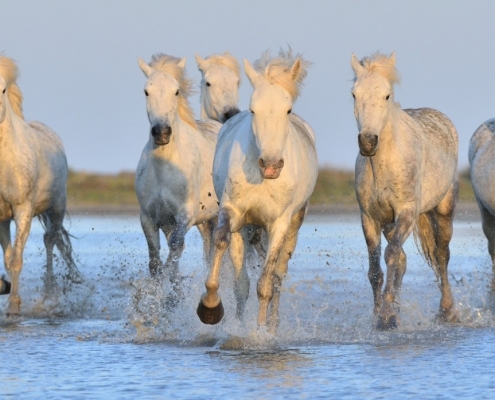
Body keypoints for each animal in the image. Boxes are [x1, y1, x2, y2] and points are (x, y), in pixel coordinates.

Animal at [0, 55, 81, 316]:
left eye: (2, 89)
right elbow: (8, 259)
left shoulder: (23, 210)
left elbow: (17, 259)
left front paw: (13, 307)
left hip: (55, 209)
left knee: (50, 240)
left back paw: (50, 294)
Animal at [135, 54, 222, 288]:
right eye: (146, 91)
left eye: (176, 91)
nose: (161, 133)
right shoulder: (150, 218)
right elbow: (155, 259)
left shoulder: (186, 213)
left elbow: (176, 246)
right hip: (204, 222)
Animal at [196, 48, 320, 332]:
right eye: (253, 110)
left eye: (288, 109)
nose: (271, 165)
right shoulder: (232, 212)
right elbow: (223, 245)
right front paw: (210, 308)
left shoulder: (279, 225)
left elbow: (266, 283)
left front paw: (260, 332)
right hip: (247, 228)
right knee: (242, 280)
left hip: (293, 227)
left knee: (278, 275)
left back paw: (272, 324)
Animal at [352, 51, 462, 330]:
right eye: (354, 94)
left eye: (387, 95)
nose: (368, 142)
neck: (384, 164)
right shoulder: (370, 218)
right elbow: (376, 269)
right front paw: (381, 314)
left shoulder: (407, 213)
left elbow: (391, 255)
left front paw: (386, 317)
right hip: (389, 224)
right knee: (403, 261)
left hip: (443, 212)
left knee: (441, 255)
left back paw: (447, 312)